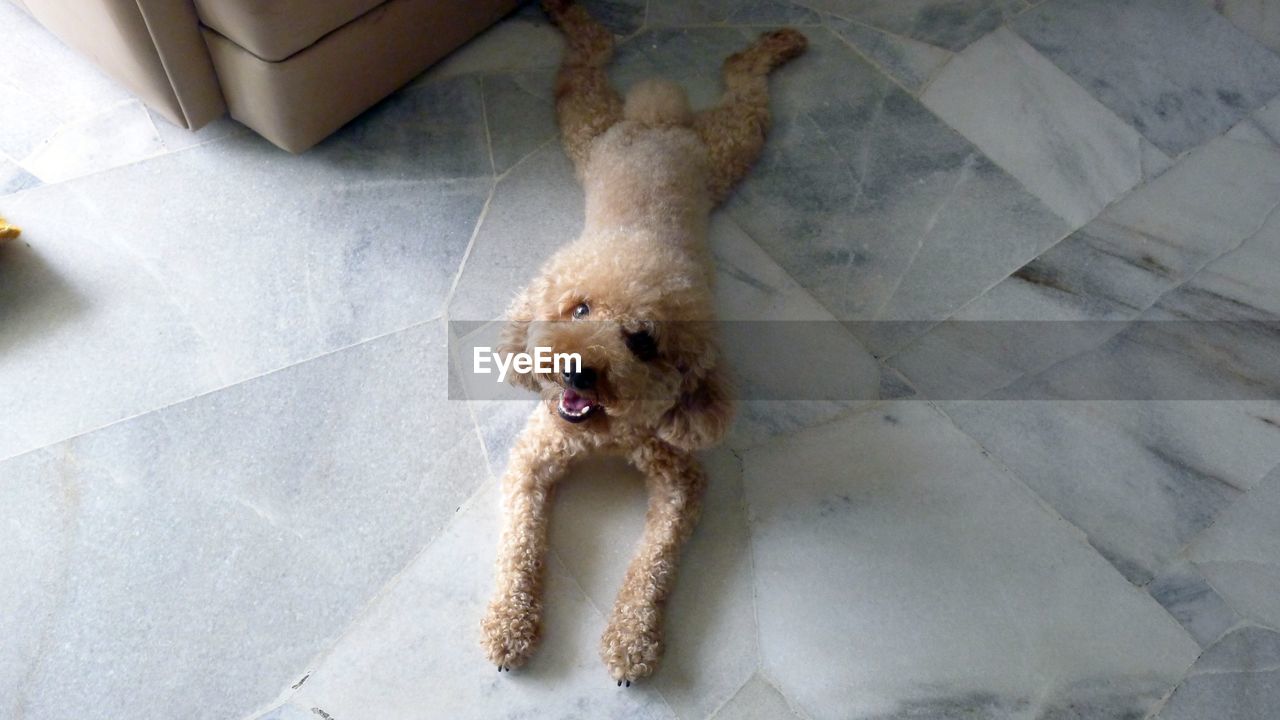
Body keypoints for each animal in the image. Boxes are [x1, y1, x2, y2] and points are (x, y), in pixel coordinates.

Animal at [481, 0, 798, 681]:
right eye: (579, 307)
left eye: (643, 342)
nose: (575, 371)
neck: (605, 429)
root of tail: (656, 124)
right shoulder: (535, 458)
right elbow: (520, 545)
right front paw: (509, 627)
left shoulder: (681, 480)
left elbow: (653, 566)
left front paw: (632, 640)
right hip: (587, 123)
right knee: (593, 52)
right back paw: (566, 13)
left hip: (727, 146)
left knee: (744, 86)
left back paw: (776, 44)